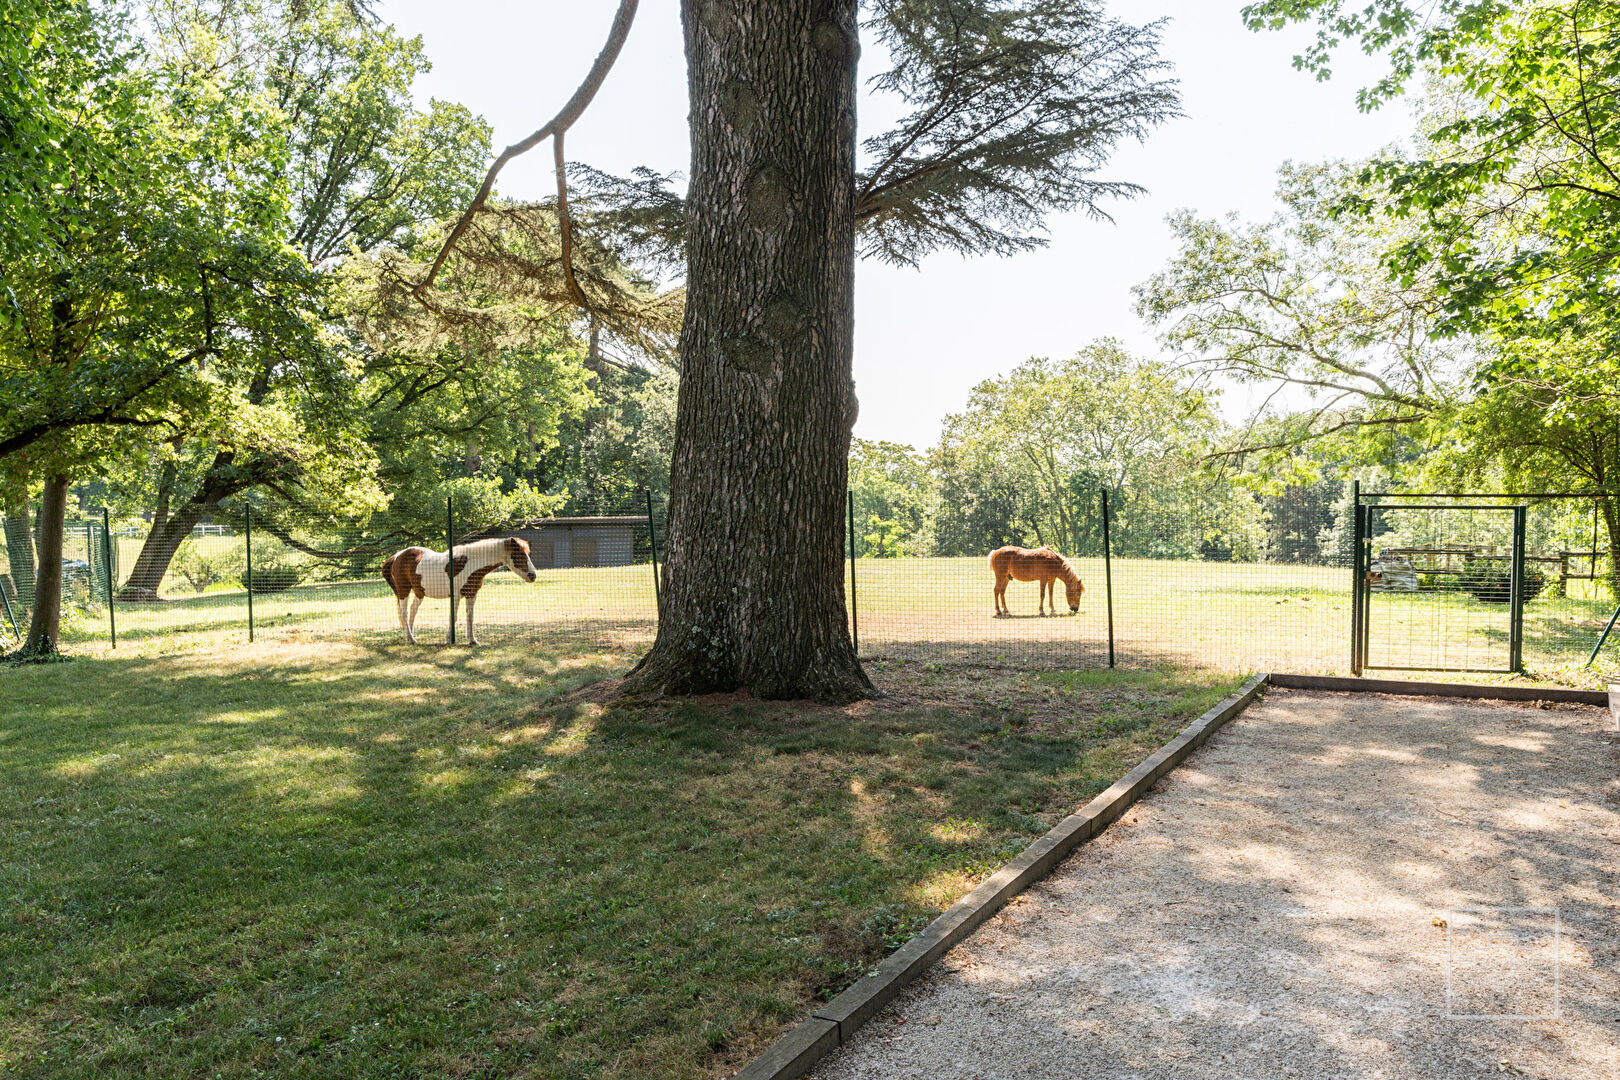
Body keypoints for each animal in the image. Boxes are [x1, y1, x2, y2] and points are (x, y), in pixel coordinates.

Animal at [379, 537, 537, 647]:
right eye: (519, 554)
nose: (533, 576)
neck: (470, 564)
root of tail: (396, 556)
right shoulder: (455, 596)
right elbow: (453, 617)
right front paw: (449, 639)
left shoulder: (471, 594)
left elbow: (470, 617)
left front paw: (472, 640)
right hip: (403, 590)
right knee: (404, 613)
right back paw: (411, 639)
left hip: (419, 592)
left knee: (412, 611)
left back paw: (409, 637)